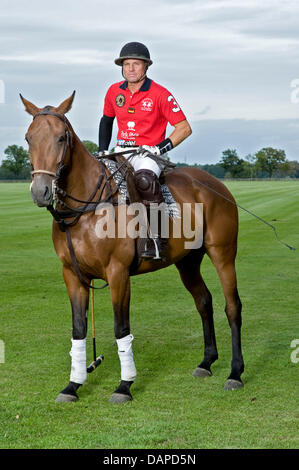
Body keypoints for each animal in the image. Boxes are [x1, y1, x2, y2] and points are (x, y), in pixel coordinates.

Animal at [20, 92, 246, 404]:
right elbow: (78, 330)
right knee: (204, 301)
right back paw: (206, 362)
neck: (87, 208)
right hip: (187, 260)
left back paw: (235, 373)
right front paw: (72, 385)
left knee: (232, 305)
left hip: (223, 252)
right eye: (29, 137)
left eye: (61, 137)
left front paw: (124, 385)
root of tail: (216, 184)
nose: (40, 192)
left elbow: (121, 327)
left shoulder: (118, 272)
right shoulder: (72, 274)